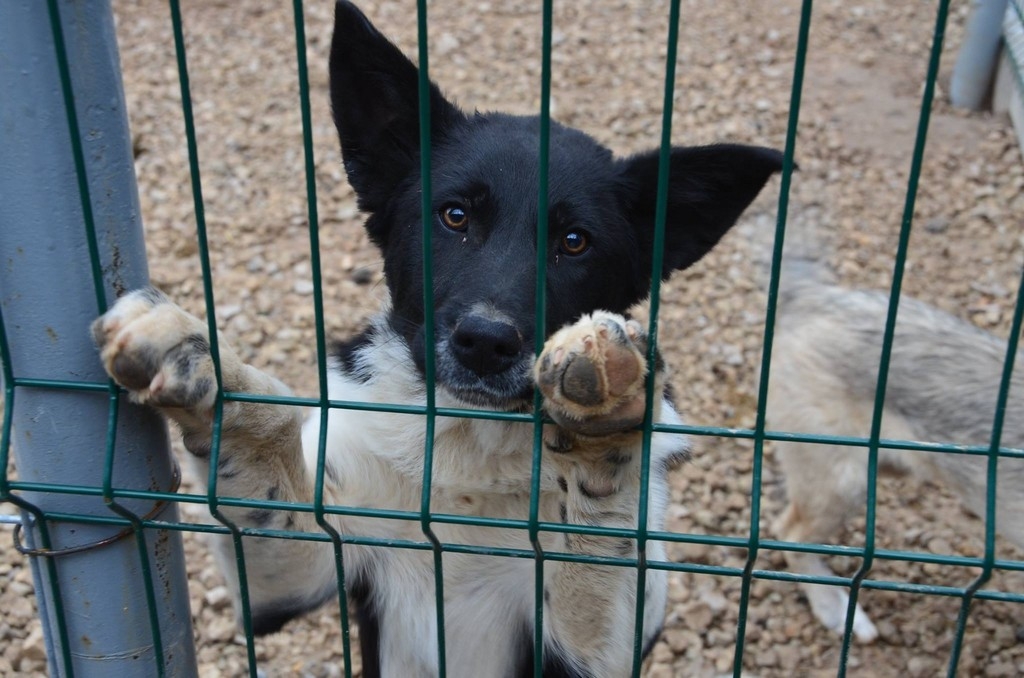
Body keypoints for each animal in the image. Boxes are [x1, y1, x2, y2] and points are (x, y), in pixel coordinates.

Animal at [96, 2, 782, 675]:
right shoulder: (286, 582)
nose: (485, 342)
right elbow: (267, 441)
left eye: (574, 241)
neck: (469, 451)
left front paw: (606, 416)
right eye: (455, 216)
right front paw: (201, 356)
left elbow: (598, 540)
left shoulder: (593, 653)